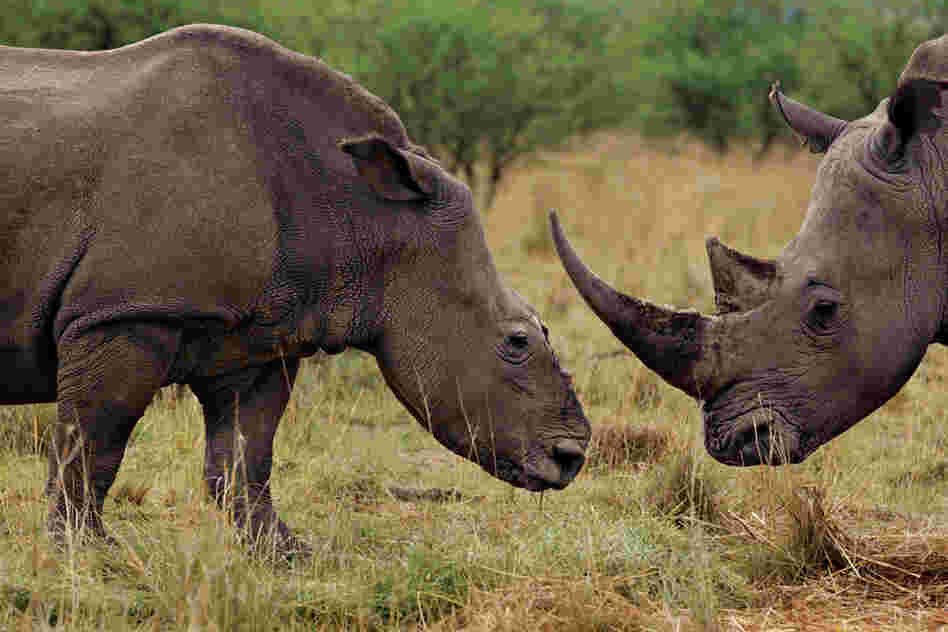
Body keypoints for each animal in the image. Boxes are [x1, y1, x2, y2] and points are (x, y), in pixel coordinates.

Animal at [0, 24, 590, 550]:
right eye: (516, 342)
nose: (571, 458)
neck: (370, 217)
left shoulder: (262, 334)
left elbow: (244, 455)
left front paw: (288, 554)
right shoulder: (126, 312)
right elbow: (93, 440)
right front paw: (88, 553)